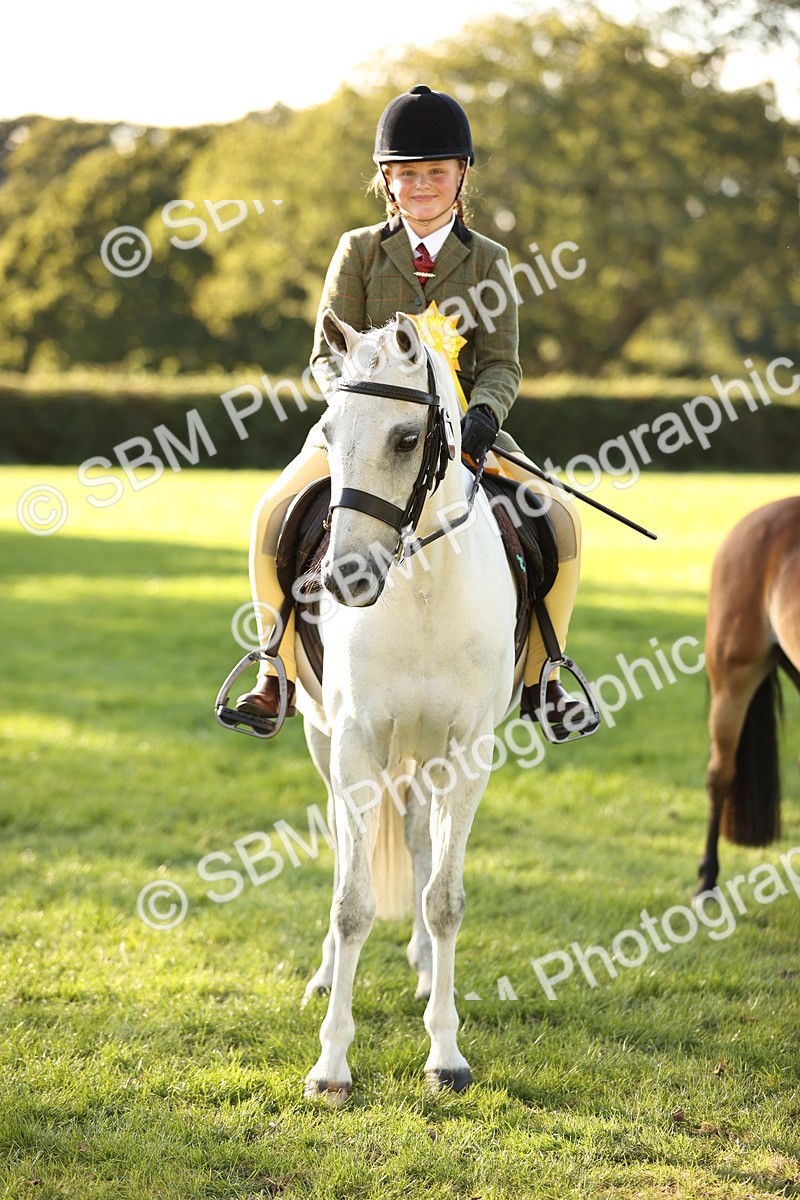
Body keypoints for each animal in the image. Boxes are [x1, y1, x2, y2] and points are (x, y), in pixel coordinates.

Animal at [289, 308, 522, 1101]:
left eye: (405, 438)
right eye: (327, 431)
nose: (345, 578)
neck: (420, 589)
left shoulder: (469, 753)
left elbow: (445, 898)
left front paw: (446, 1055)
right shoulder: (355, 743)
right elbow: (351, 902)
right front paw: (330, 1065)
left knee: (421, 840)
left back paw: (423, 968)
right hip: (325, 743)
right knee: (343, 845)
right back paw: (326, 974)